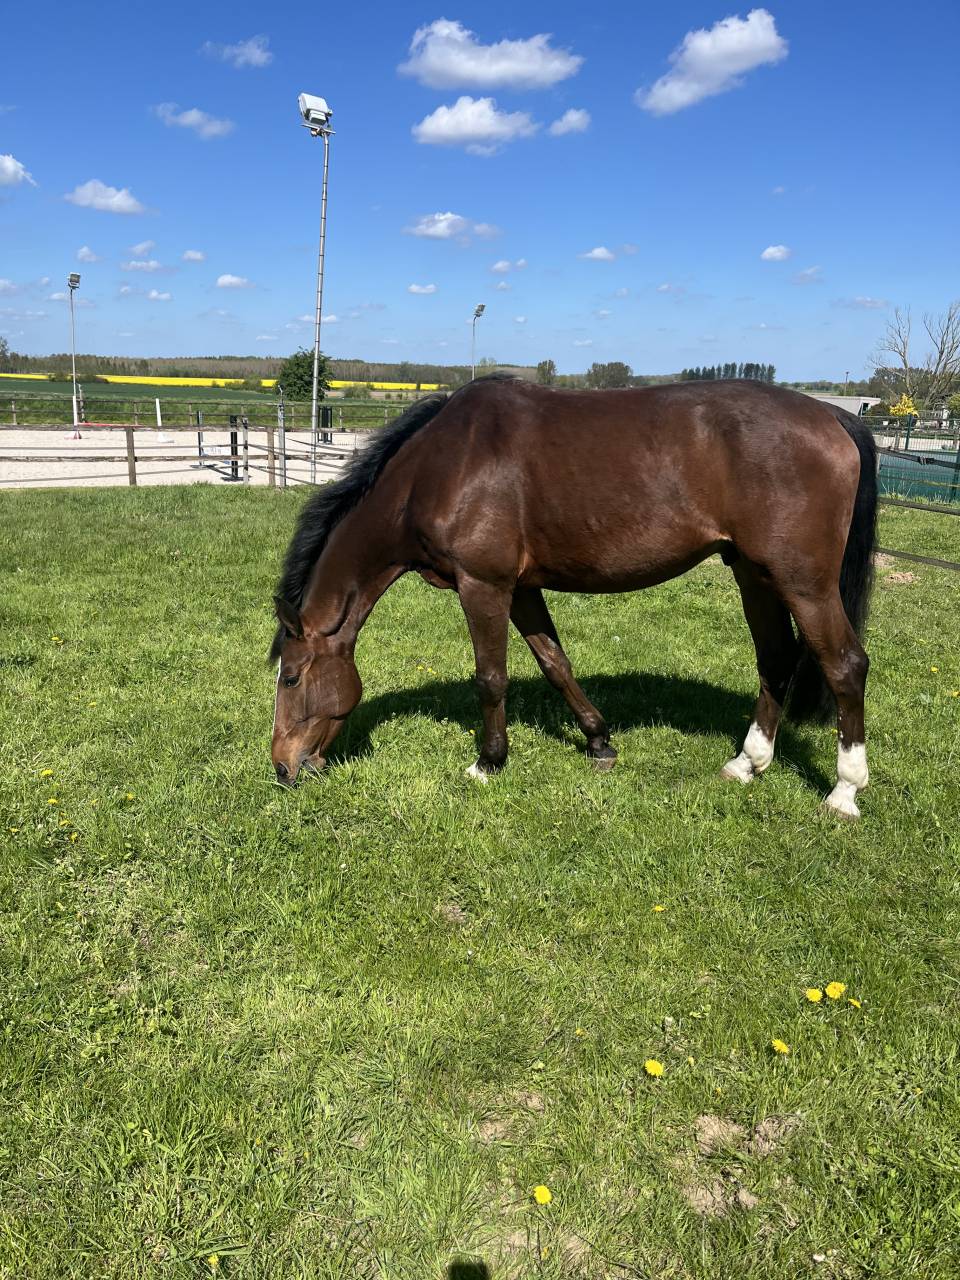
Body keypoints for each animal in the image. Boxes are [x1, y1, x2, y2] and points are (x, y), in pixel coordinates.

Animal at [270, 375, 877, 818]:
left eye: (291, 678)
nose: (283, 768)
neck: (440, 468)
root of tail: (834, 417)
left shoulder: (484, 585)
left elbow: (491, 678)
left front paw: (488, 762)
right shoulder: (522, 589)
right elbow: (555, 663)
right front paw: (599, 741)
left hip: (804, 583)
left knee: (845, 665)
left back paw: (844, 792)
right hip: (755, 574)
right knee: (776, 659)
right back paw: (747, 763)